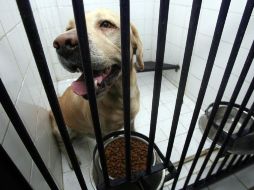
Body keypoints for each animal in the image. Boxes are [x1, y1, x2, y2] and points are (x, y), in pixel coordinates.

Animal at [50, 9, 144, 166]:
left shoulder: (131, 121)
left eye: (106, 24)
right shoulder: (105, 134)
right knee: (63, 146)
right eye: (68, 29)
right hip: (60, 131)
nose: (62, 43)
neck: (119, 98)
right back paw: (73, 160)